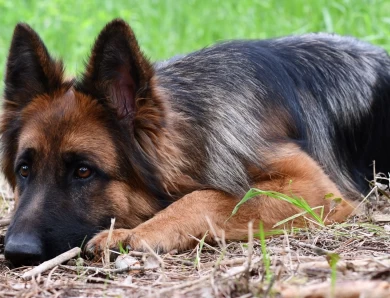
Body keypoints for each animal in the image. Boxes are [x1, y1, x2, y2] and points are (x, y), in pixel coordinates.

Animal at [0, 18, 390, 266]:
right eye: (24, 170)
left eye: (83, 171)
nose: (16, 252)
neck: (193, 124)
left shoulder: (311, 186)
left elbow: (207, 197)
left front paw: (131, 233)